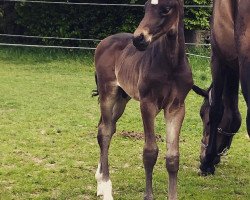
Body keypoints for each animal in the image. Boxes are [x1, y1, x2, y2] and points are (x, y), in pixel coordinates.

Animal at [94, 0, 193, 199]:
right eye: (145, 7)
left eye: (166, 8)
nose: (138, 39)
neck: (171, 64)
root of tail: (103, 42)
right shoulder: (148, 104)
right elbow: (150, 152)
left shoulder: (176, 107)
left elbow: (173, 157)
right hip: (108, 92)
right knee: (105, 131)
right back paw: (106, 188)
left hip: (122, 98)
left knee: (107, 127)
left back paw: (100, 181)